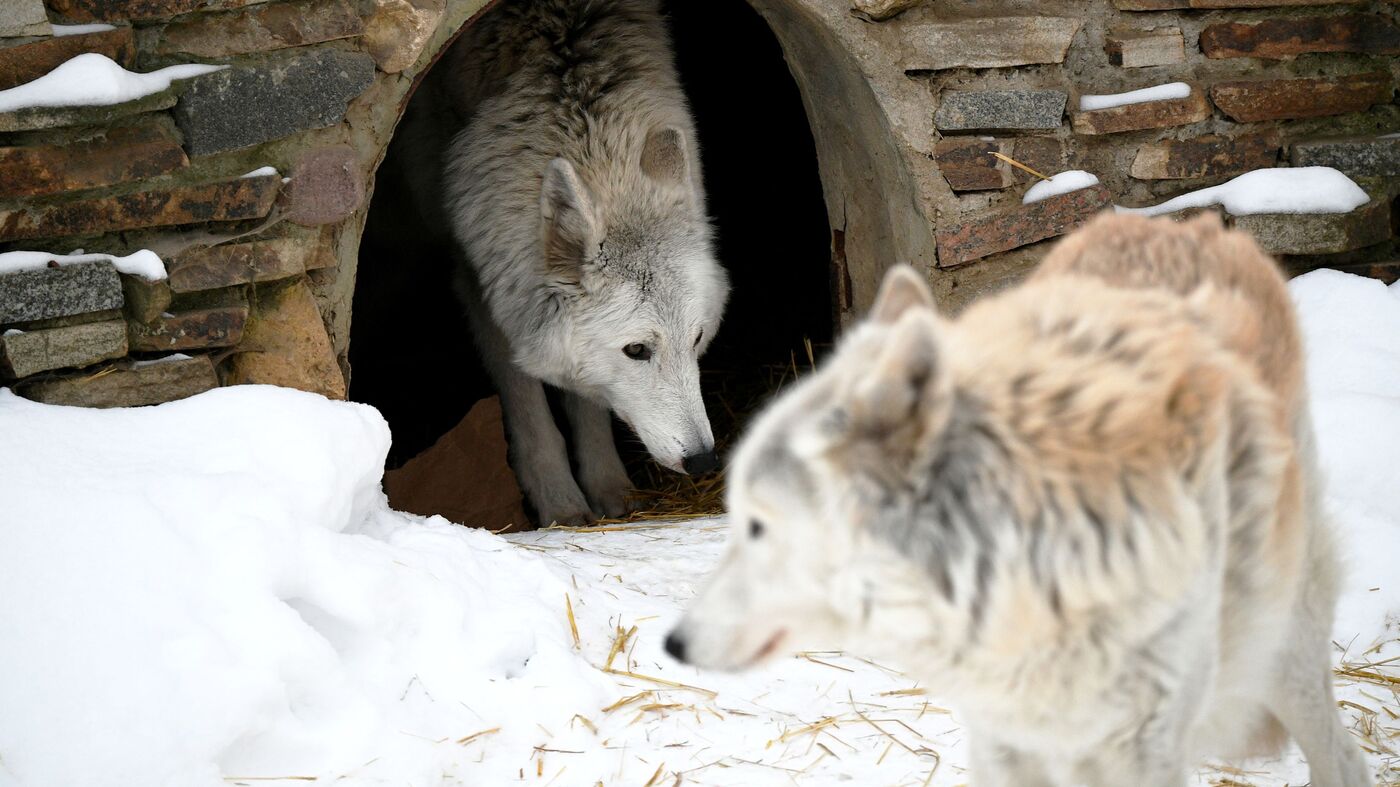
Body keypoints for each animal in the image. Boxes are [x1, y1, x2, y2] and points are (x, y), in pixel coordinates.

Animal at [389, 1, 728, 526]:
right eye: (636, 350)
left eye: (696, 339)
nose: (704, 460)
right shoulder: (480, 278)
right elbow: (528, 403)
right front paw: (558, 502)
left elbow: (586, 400)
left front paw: (609, 488)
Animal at [666, 211, 1366, 778]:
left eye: (757, 526)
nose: (673, 644)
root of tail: (1186, 223)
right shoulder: (1003, 740)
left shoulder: (1144, 750)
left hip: (1283, 651)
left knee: (1345, 757)